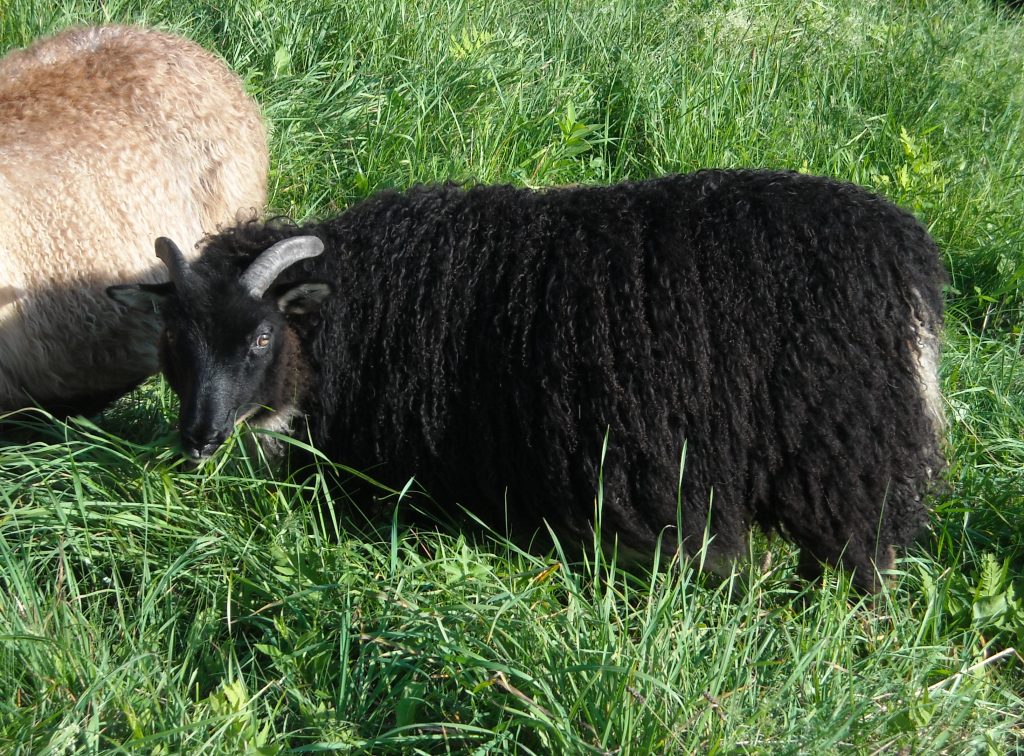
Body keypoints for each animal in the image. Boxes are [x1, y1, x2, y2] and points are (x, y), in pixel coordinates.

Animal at [109, 170, 948, 591]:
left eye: (258, 336)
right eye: (174, 342)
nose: (197, 439)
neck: (362, 312)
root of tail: (906, 261)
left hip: (842, 448)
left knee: (862, 555)